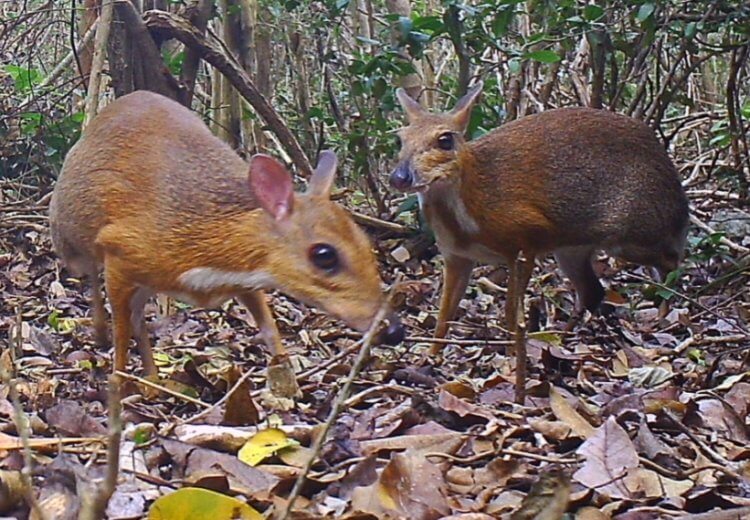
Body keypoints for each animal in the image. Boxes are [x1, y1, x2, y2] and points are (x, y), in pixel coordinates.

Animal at [50, 90, 406, 398]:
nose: (394, 330)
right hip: (70, 238)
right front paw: (118, 382)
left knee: (139, 316)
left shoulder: (247, 279)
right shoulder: (119, 249)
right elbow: (121, 331)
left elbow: (270, 328)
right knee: (93, 278)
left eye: (364, 241)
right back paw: (102, 336)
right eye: (324, 255)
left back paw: (152, 379)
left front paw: (290, 382)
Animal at [394, 81, 692, 398]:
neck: (471, 216)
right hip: (573, 249)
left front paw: (512, 357)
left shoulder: (527, 238)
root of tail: (676, 189)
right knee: (593, 291)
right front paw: (429, 357)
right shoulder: (456, 256)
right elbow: (444, 315)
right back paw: (561, 337)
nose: (399, 177)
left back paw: (665, 313)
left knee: (672, 261)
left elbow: (511, 312)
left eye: (445, 140)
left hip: (633, 233)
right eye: (401, 139)